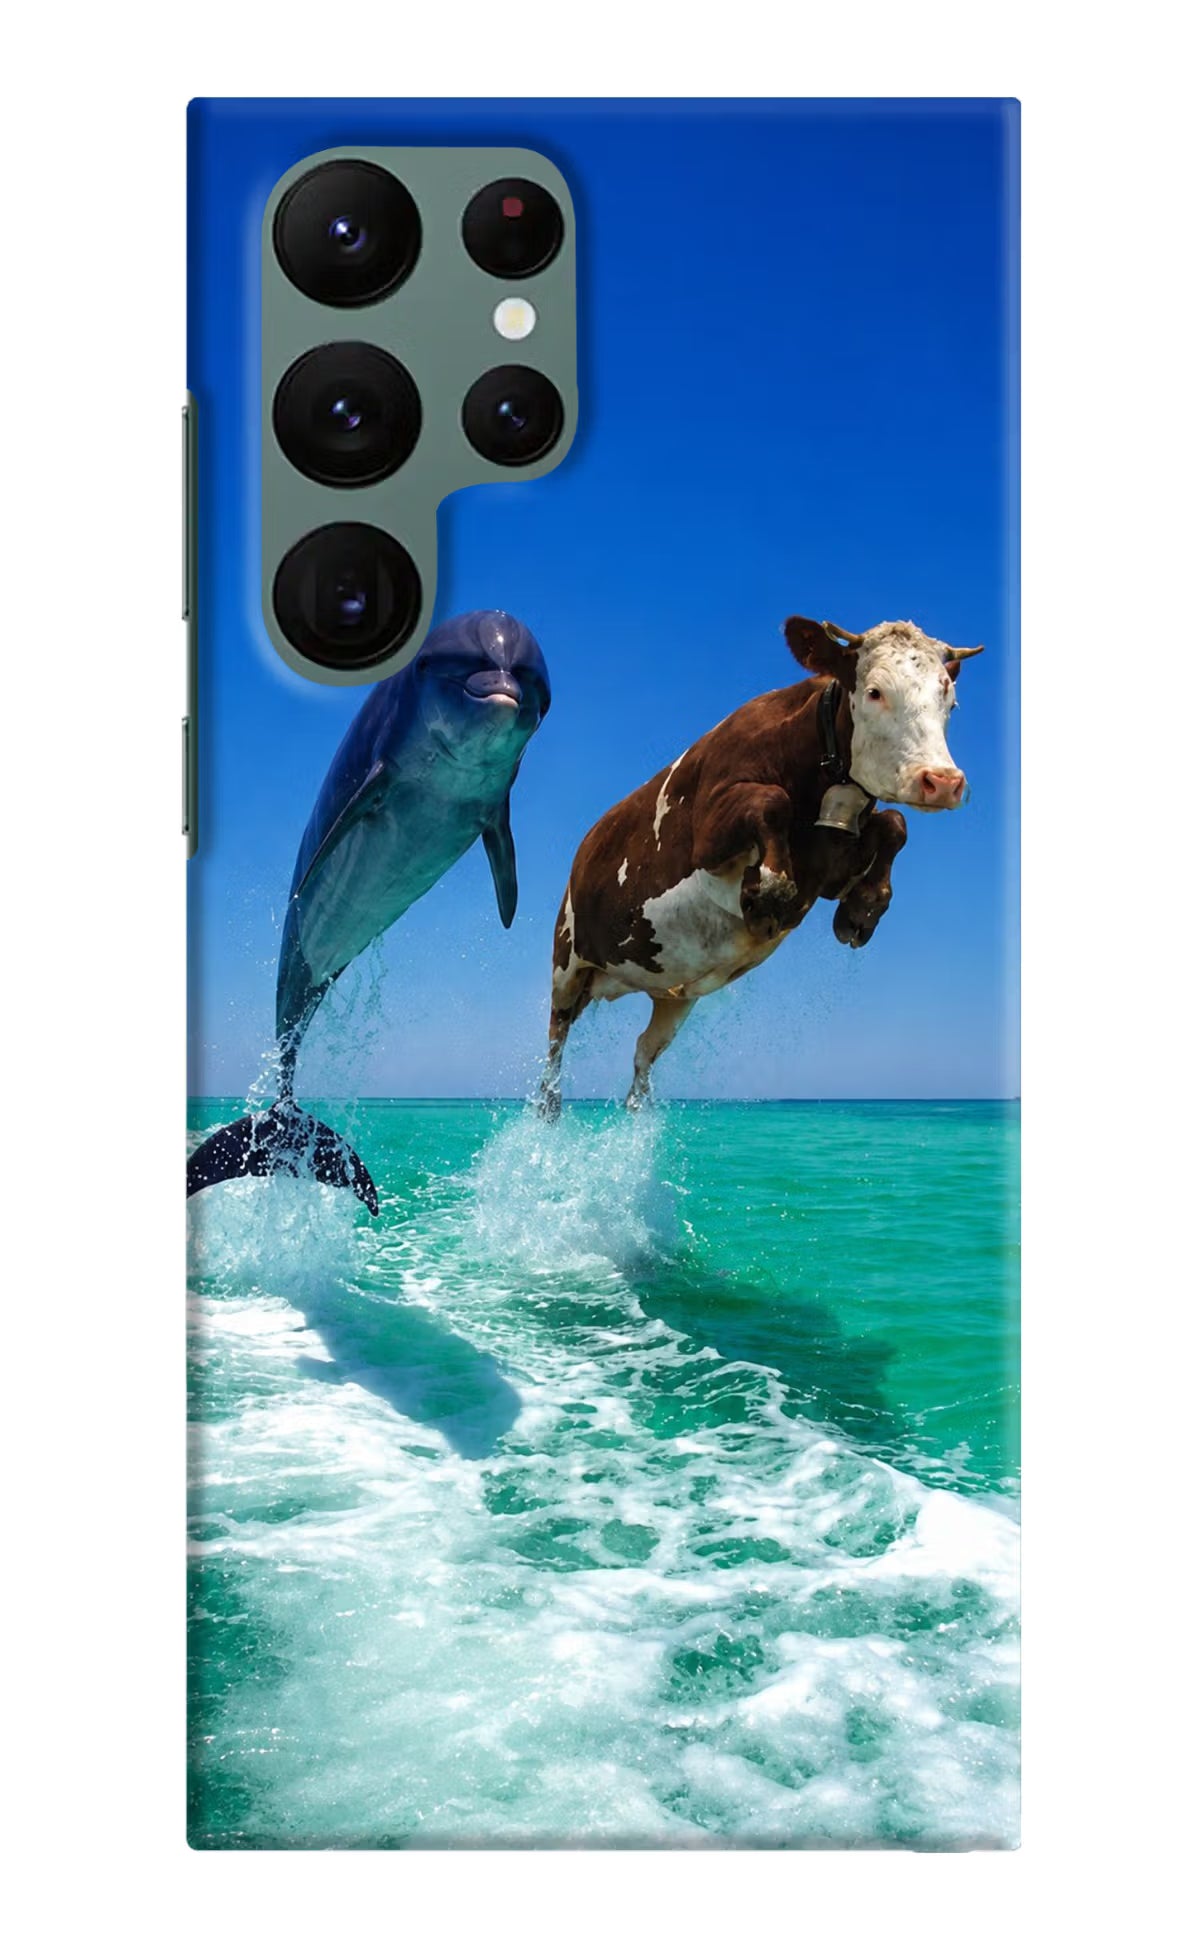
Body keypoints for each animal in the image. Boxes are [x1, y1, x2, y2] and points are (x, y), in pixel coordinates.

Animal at [537, 614, 983, 1117]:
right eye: (874, 691)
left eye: (950, 699)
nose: (942, 781)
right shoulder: (708, 834)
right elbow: (772, 802)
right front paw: (768, 893)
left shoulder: (829, 867)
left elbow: (894, 823)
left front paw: (862, 909)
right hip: (566, 961)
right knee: (554, 1042)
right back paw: (549, 1107)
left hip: (673, 995)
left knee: (643, 1053)